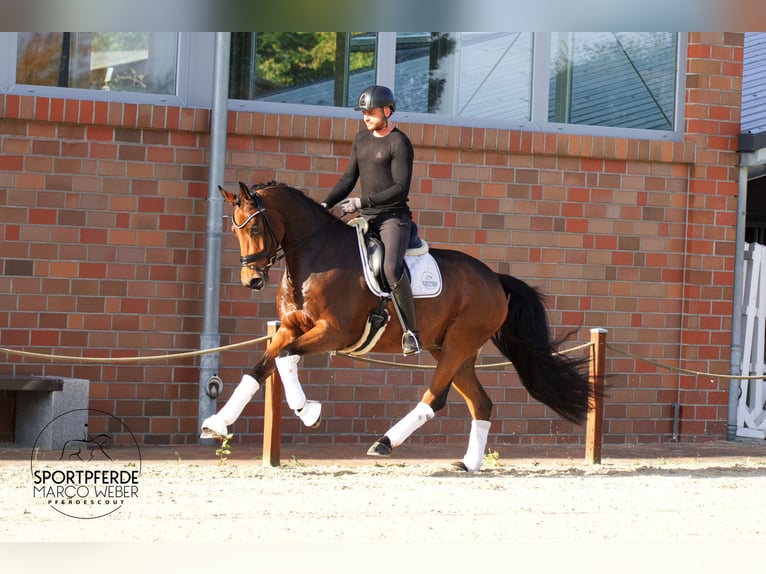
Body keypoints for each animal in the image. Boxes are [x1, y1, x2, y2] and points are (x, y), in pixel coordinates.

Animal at [201, 181, 592, 472]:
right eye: (233, 229)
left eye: (254, 226)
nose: (251, 280)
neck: (313, 255)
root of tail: (494, 278)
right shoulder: (290, 327)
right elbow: (258, 370)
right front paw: (216, 423)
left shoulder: (333, 332)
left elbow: (285, 359)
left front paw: (307, 411)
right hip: (453, 350)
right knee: (481, 404)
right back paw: (468, 464)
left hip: (458, 345)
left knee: (435, 397)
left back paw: (385, 442)